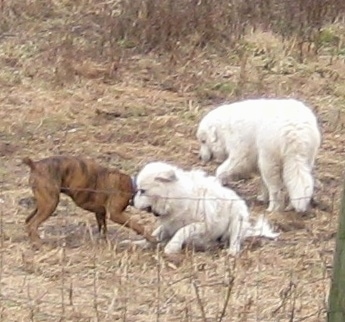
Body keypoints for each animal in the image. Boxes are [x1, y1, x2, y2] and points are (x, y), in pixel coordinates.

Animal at [22, 157, 155, 249]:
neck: (133, 186)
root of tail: (35, 164)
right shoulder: (115, 214)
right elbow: (136, 224)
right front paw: (151, 238)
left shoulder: (100, 213)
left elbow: (103, 229)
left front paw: (103, 243)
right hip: (50, 204)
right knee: (33, 224)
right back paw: (38, 244)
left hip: (43, 203)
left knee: (29, 221)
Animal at [125, 162, 276, 255]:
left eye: (142, 191)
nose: (131, 202)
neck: (174, 196)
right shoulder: (169, 224)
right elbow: (154, 234)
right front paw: (138, 243)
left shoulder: (202, 224)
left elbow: (182, 230)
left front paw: (172, 247)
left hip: (237, 220)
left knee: (235, 240)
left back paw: (231, 252)